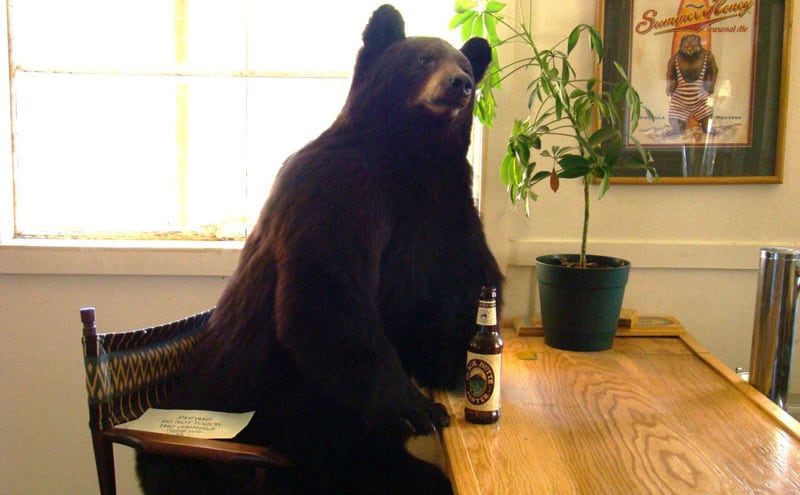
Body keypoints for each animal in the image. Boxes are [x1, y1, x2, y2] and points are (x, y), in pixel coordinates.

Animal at [137, 4, 500, 495]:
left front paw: (455, 363)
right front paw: (419, 407)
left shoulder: (445, 208)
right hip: (223, 436)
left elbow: (459, 289)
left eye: (464, 65)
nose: (458, 83)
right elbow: (328, 296)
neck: (410, 158)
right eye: (423, 58)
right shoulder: (337, 191)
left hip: (352, 454)